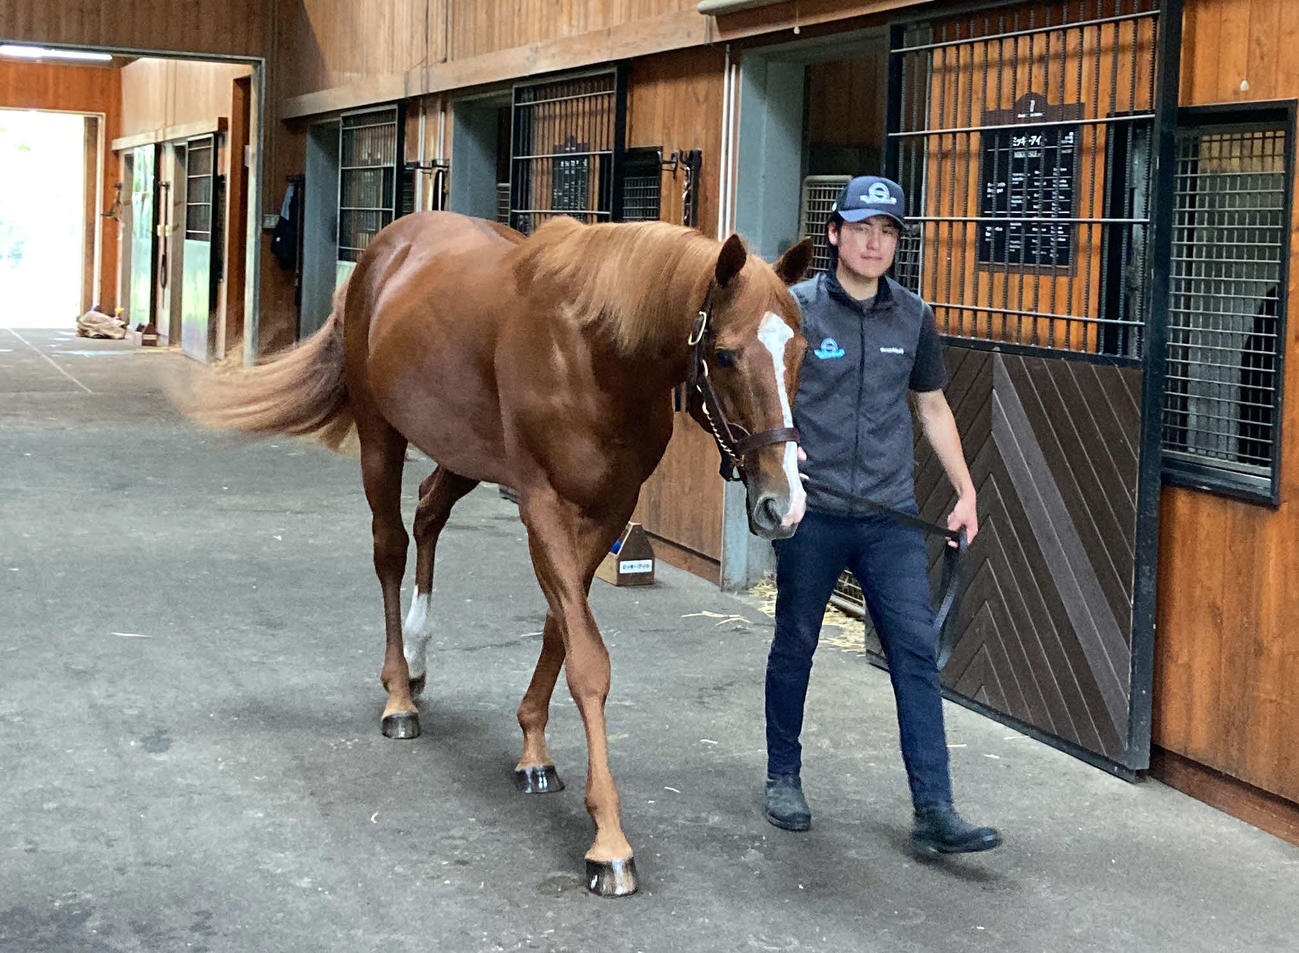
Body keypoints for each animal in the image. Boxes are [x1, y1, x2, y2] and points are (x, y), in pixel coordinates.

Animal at [182, 210, 813, 897]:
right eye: (724, 354)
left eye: (801, 351)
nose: (784, 505)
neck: (593, 356)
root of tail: (385, 249)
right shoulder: (540, 505)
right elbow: (587, 658)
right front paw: (609, 841)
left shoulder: (609, 512)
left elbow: (561, 625)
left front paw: (533, 749)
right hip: (382, 436)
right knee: (390, 547)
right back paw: (399, 694)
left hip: (461, 451)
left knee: (429, 512)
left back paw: (417, 654)